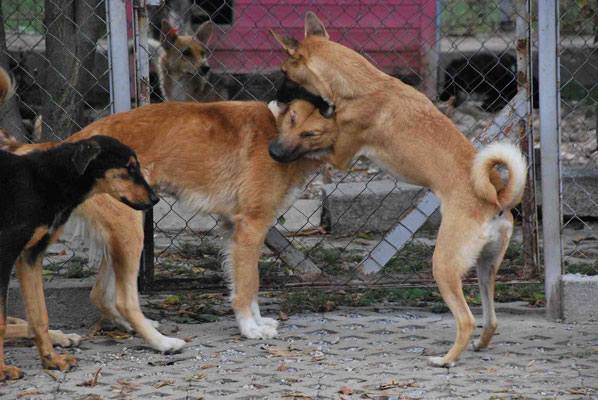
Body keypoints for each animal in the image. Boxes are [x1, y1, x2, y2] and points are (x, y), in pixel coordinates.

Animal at [0, 66, 159, 382]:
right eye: (129, 168)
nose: (155, 198)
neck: (45, 179)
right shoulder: (4, 255)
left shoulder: (30, 256)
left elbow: (39, 314)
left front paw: (52, 361)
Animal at [270, 12, 528, 368]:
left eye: (285, 72)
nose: (276, 96)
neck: (363, 85)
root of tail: (496, 199)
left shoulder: (339, 156)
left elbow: (315, 150)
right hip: (485, 268)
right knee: (490, 320)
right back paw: (478, 345)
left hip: (444, 266)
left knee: (467, 320)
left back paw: (446, 359)